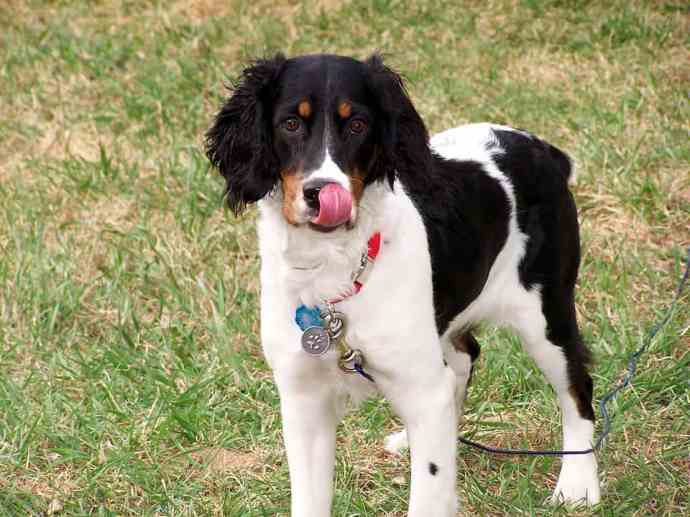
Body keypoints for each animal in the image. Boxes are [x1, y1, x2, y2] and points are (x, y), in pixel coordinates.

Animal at [204, 54, 596, 512]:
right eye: (290, 123)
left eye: (358, 125)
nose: (321, 192)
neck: (335, 271)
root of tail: (543, 150)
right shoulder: (303, 395)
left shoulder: (419, 385)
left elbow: (427, 495)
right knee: (464, 358)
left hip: (544, 315)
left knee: (577, 387)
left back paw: (578, 484)